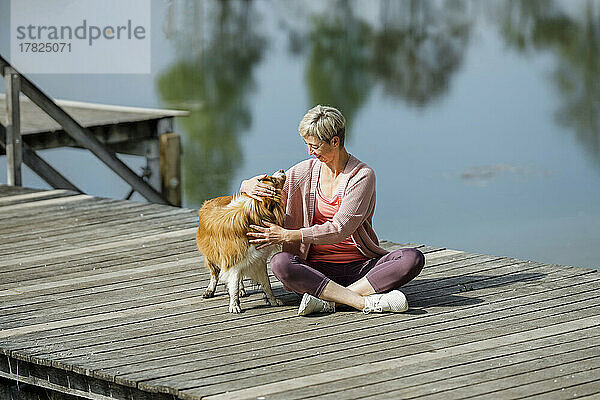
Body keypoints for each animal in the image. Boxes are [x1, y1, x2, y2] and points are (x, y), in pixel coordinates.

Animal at [193, 170, 284, 314]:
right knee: (215, 273)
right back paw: (210, 290)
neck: (255, 214)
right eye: (273, 180)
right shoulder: (232, 259)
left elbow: (266, 284)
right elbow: (233, 284)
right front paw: (234, 305)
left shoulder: (258, 259)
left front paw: (273, 301)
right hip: (210, 255)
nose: (281, 170)